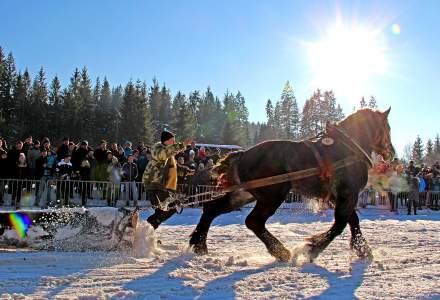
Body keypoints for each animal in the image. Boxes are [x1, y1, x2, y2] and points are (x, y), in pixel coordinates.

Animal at [187, 107, 394, 260]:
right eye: (388, 128)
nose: (391, 153)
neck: (347, 148)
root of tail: (244, 154)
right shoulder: (348, 193)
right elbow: (340, 224)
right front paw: (312, 248)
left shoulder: (340, 196)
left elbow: (353, 220)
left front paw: (362, 249)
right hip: (273, 195)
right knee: (253, 221)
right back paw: (280, 251)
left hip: (244, 193)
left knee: (212, 208)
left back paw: (199, 244)